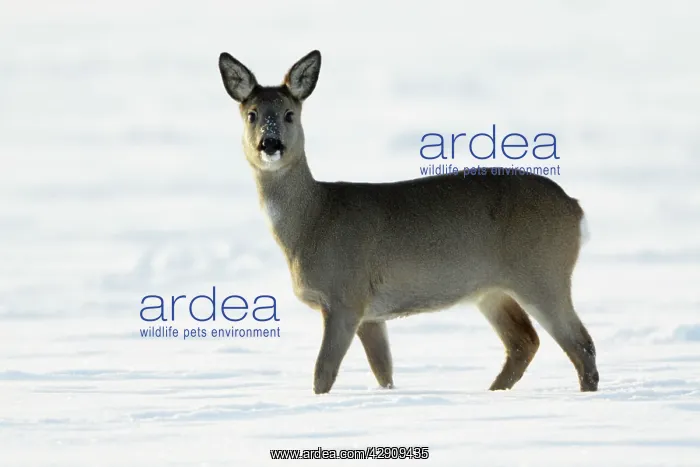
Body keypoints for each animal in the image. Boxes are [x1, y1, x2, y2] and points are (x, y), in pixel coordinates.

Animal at [217, 50, 599, 395]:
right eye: (252, 115)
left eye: (289, 114)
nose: (270, 143)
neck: (314, 221)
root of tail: (575, 208)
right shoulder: (371, 314)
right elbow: (383, 371)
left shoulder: (345, 294)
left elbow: (323, 373)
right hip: (491, 290)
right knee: (524, 342)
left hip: (543, 272)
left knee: (581, 344)